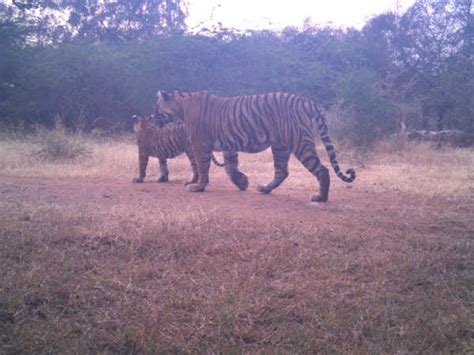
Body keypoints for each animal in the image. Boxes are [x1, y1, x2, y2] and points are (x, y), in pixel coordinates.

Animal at [155, 92, 356, 203]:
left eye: (157, 108)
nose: (151, 116)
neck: (182, 105)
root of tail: (306, 101)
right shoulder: (229, 145)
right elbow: (230, 167)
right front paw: (243, 182)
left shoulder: (200, 145)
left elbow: (203, 167)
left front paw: (198, 187)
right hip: (280, 146)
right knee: (282, 172)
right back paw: (264, 189)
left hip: (299, 142)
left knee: (322, 169)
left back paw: (320, 198)